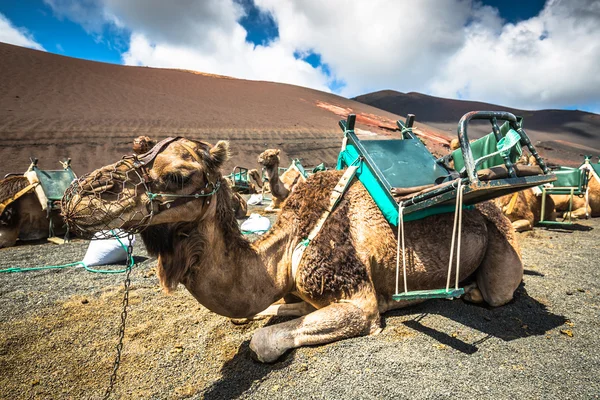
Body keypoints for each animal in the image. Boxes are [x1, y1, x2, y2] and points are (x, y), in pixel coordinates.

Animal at [63, 137, 524, 362]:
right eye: (136, 149)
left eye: (178, 174)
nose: (80, 197)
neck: (286, 249)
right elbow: (260, 312)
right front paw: (278, 309)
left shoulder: (356, 297)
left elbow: (264, 341)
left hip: (502, 256)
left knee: (499, 290)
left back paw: (471, 291)